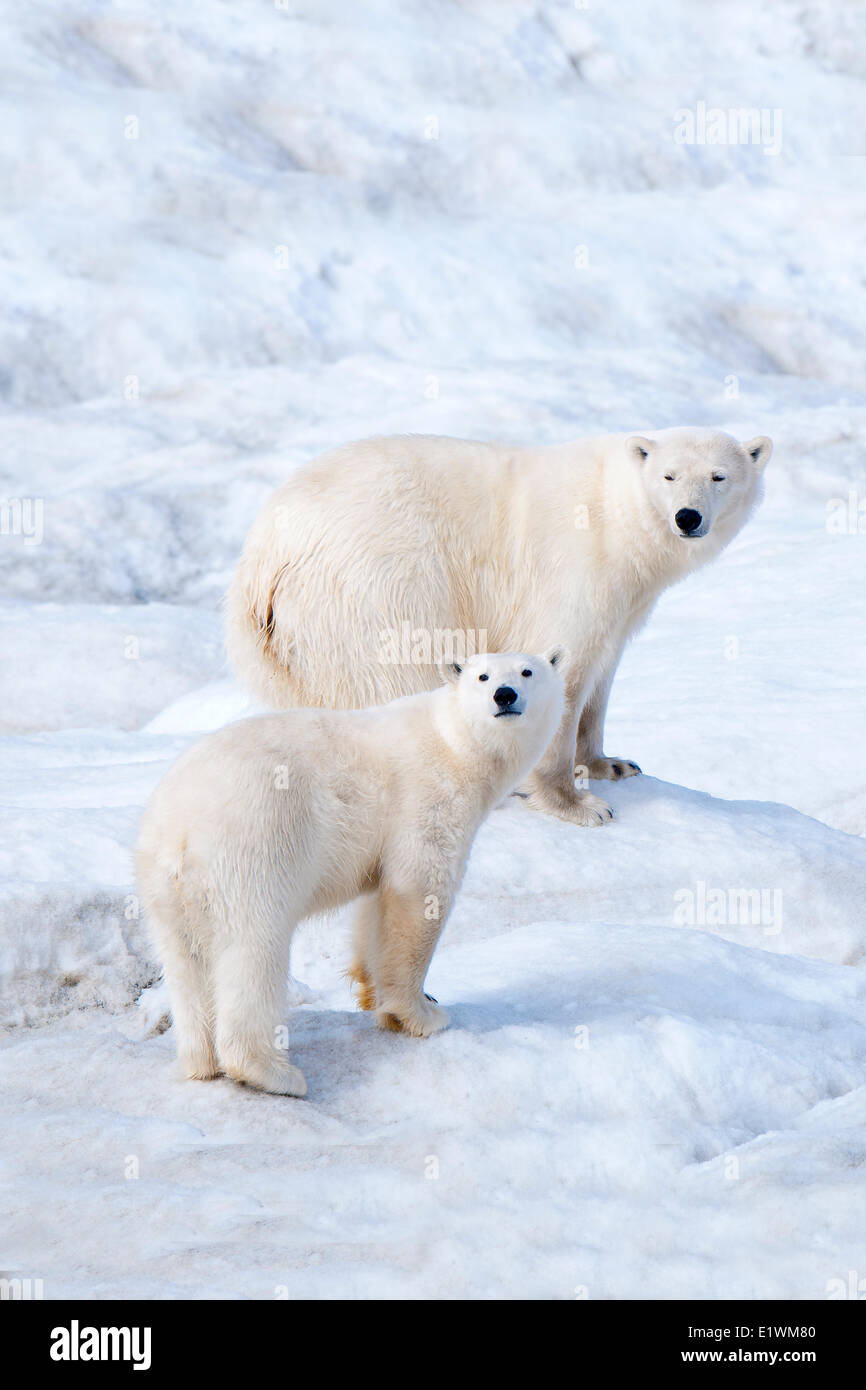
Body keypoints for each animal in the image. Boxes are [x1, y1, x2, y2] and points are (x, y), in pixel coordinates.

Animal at [135, 647, 569, 1095]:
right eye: (482, 676)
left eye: (527, 671)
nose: (505, 695)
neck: (455, 743)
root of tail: (178, 829)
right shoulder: (427, 799)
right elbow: (419, 893)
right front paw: (421, 1013)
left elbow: (376, 903)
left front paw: (375, 994)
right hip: (253, 848)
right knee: (254, 950)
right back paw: (274, 1073)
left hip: (164, 888)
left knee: (186, 962)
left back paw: (200, 1061)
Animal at [226, 425, 778, 822]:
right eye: (669, 476)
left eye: (718, 476)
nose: (687, 517)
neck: (617, 517)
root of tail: (263, 556)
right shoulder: (575, 568)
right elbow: (561, 666)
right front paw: (578, 805)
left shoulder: (626, 601)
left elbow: (601, 673)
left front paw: (611, 765)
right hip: (381, 586)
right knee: (394, 675)